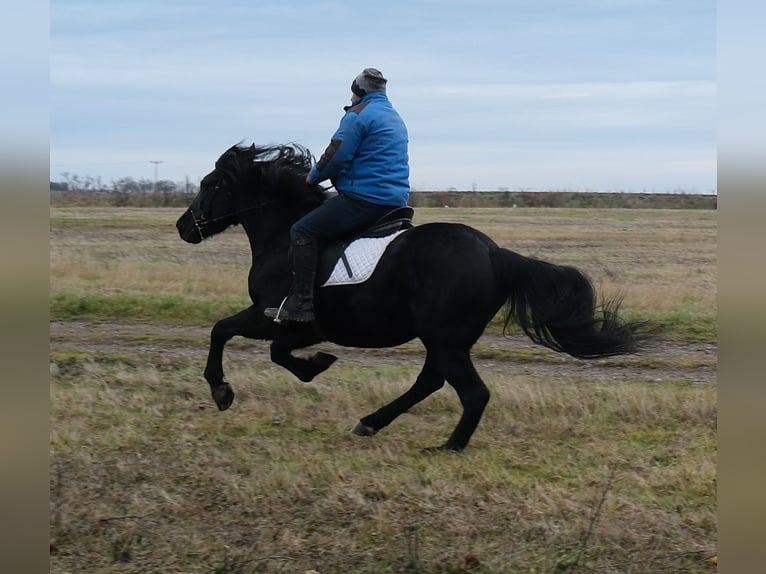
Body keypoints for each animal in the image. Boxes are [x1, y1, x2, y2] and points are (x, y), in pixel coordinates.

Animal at [176, 143, 645, 451]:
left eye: (209, 183)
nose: (183, 227)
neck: (281, 236)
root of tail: (493, 253)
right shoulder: (291, 326)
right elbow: (251, 342)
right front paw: (312, 366)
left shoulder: (276, 317)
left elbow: (230, 334)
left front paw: (225, 389)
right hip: (444, 339)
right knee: (431, 381)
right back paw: (372, 423)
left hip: (445, 337)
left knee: (470, 392)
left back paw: (448, 447)